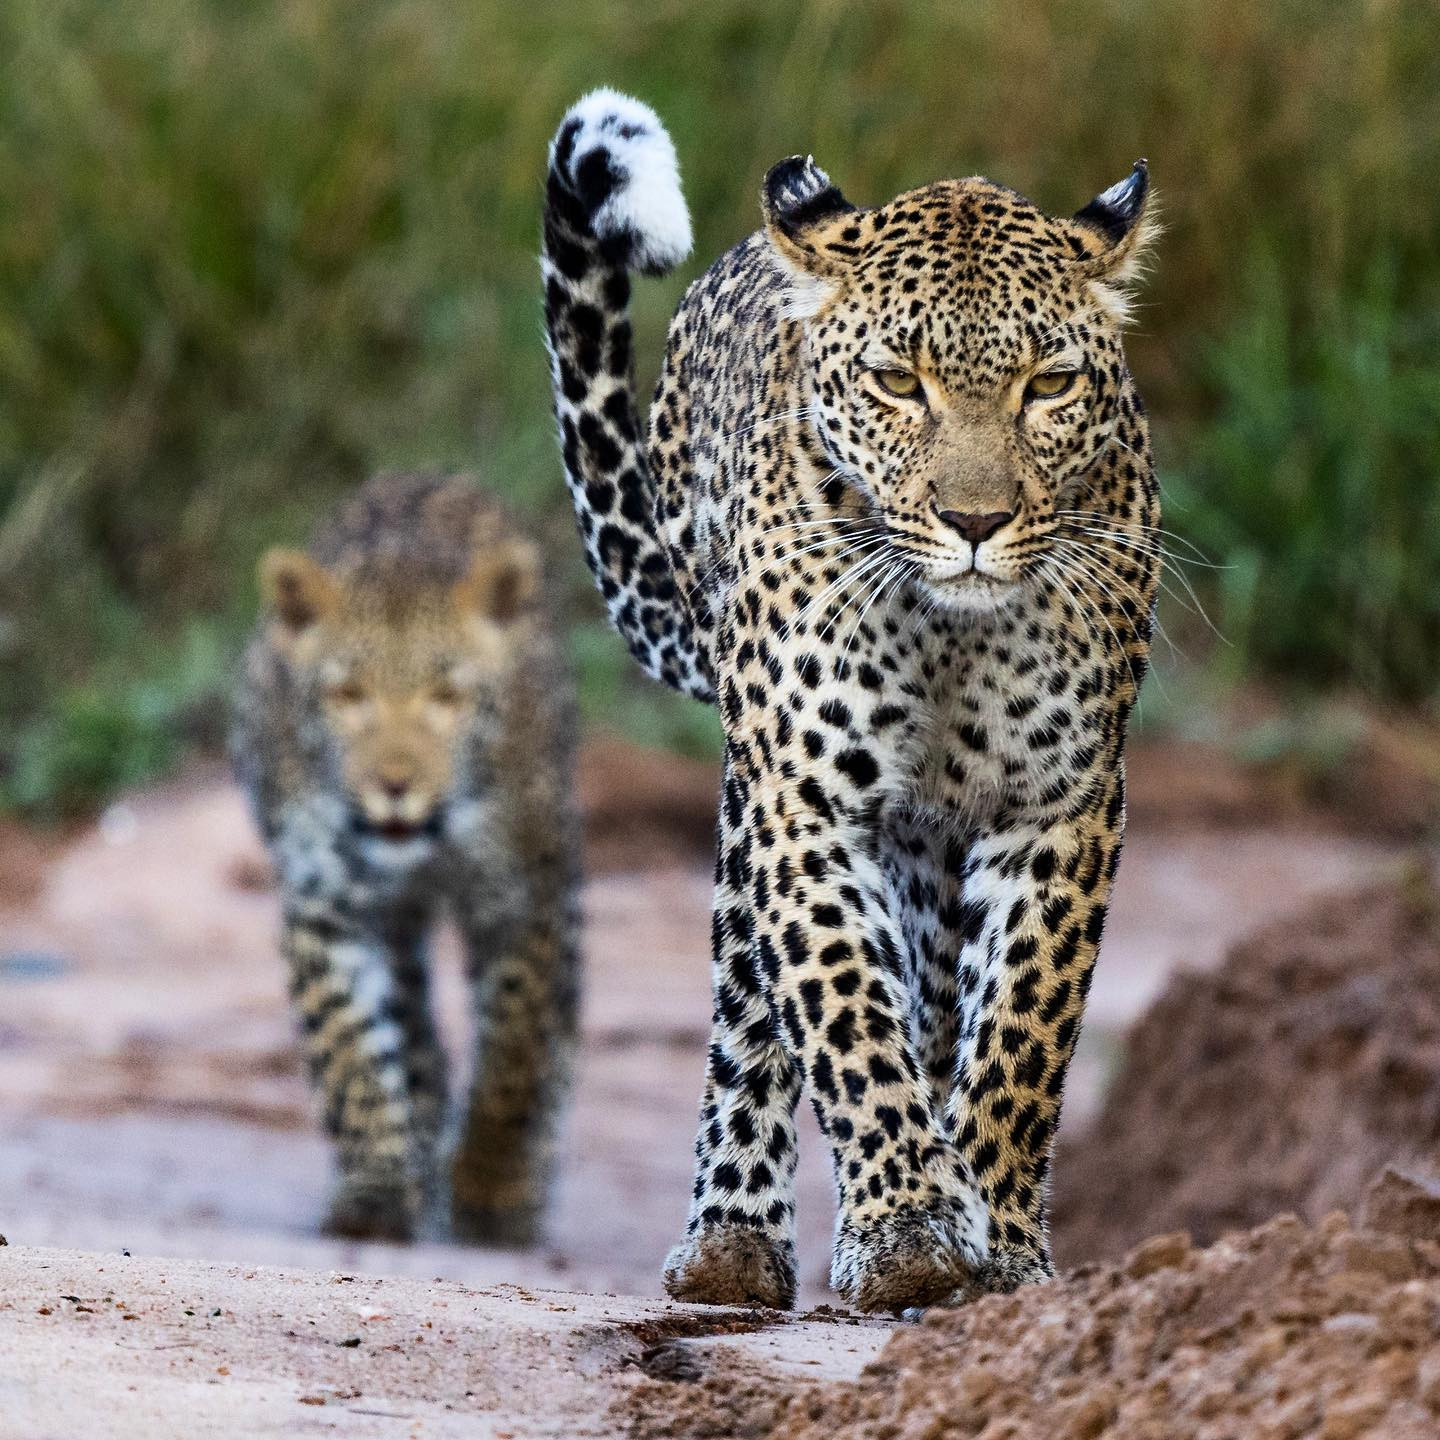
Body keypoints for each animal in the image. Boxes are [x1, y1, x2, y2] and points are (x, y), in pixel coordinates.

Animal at [233, 472, 580, 1247]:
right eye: (347, 694)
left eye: (447, 695)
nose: (394, 786)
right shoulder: (327, 904)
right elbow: (350, 1050)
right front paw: (376, 1192)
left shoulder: (518, 898)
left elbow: (514, 1049)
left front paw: (491, 1191)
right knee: (415, 1033)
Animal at [542, 89, 1158, 1314]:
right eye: (898, 382)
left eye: (1049, 386)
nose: (975, 522)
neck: (951, 626)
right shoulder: (808, 800)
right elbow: (844, 1010)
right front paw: (912, 1229)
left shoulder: (1062, 805)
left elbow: (1021, 1031)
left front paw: (997, 1243)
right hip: (750, 805)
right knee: (751, 1012)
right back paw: (731, 1242)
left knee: (939, 1001)